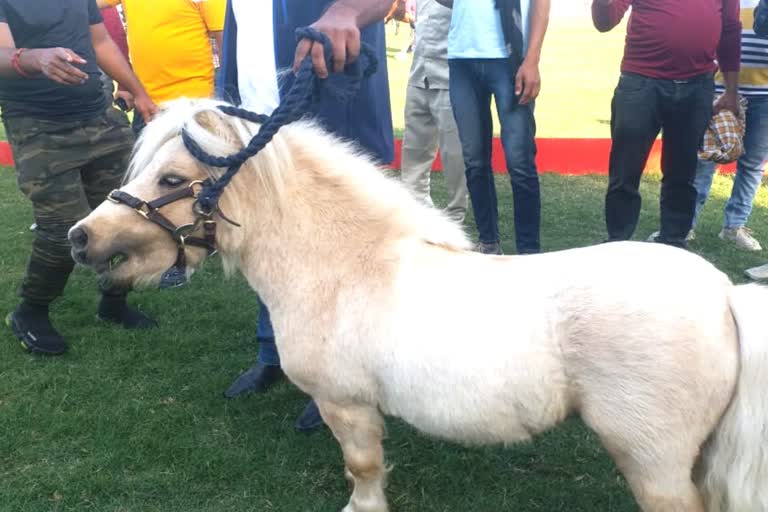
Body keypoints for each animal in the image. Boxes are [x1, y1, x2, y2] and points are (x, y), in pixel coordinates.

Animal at [69, 98, 764, 510]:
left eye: (170, 178)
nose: (81, 237)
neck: (341, 265)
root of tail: (724, 295)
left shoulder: (345, 404)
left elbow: (363, 467)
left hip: (654, 464)